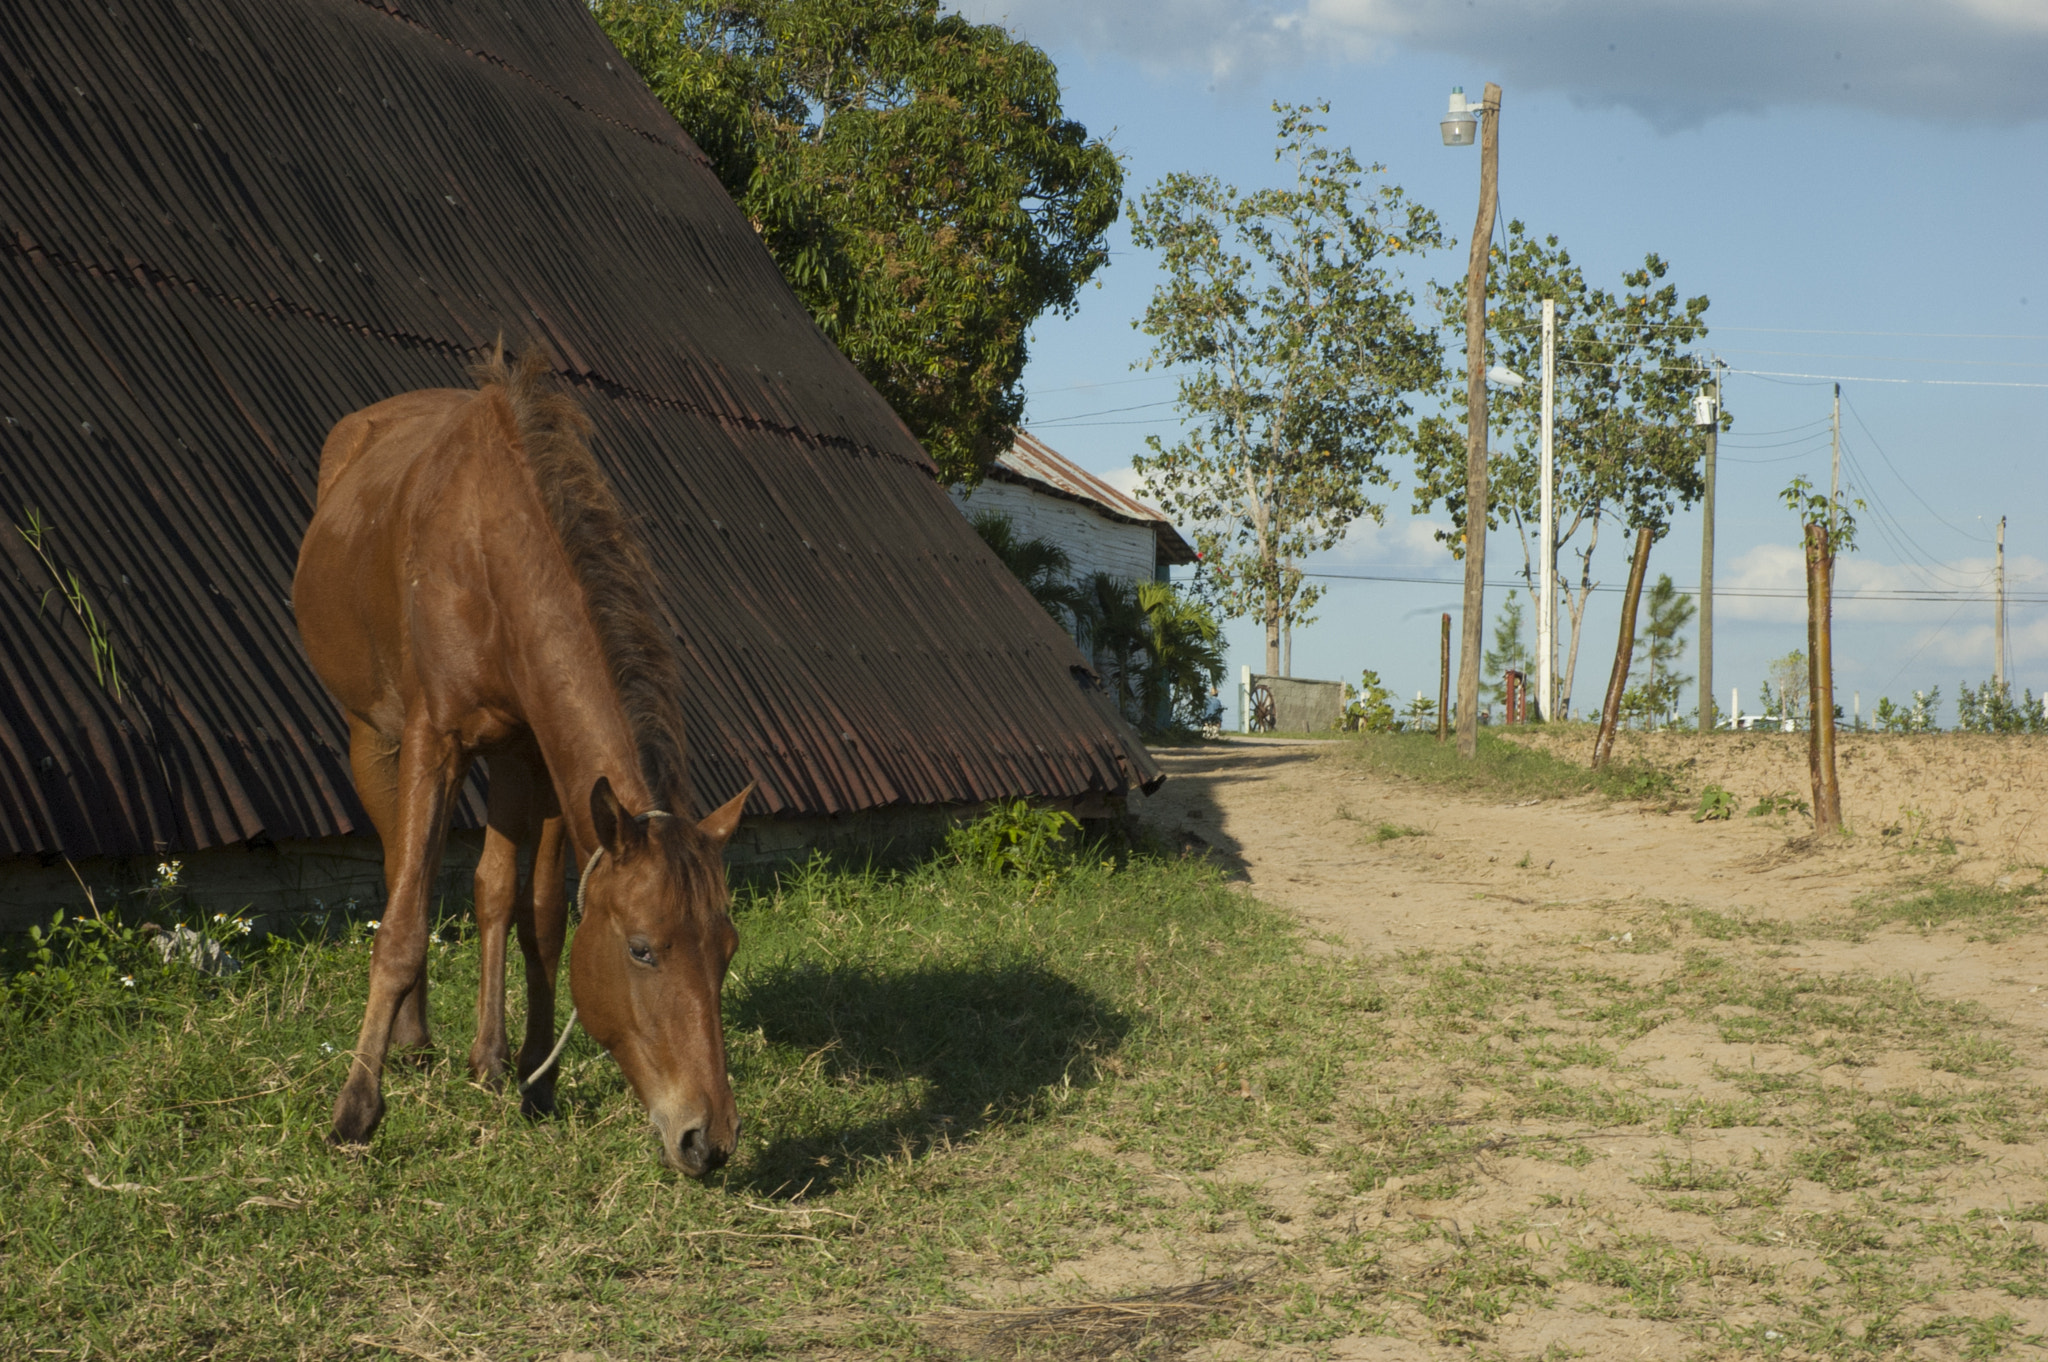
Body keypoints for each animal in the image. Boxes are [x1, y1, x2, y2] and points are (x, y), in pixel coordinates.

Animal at [292, 346, 749, 1171]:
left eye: (726, 950)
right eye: (643, 950)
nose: (709, 1139)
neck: (491, 542)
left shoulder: (541, 758)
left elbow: (537, 914)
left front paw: (535, 1078)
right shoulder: (436, 737)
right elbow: (404, 924)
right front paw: (356, 1111)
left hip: (504, 761)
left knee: (493, 890)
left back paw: (491, 1058)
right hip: (373, 734)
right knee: (396, 867)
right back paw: (412, 1040)